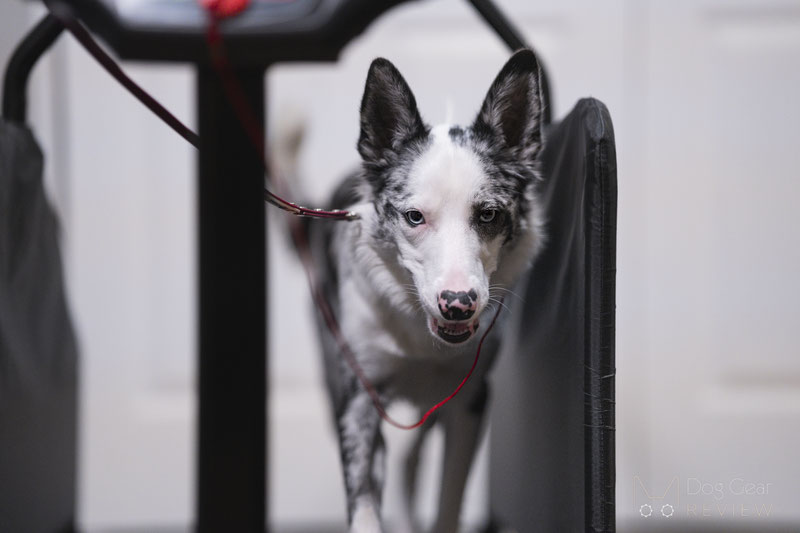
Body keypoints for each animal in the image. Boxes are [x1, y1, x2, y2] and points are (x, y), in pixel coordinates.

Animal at [304, 47, 548, 528]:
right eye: (414, 217)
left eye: (488, 214)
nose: (457, 304)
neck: (421, 337)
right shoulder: (357, 398)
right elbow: (363, 502)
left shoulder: (469, 400)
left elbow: (449, 498)